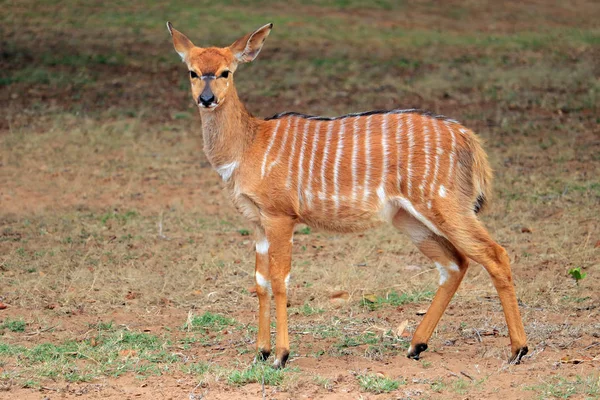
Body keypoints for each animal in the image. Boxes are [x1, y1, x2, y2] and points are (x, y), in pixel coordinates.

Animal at [166, 22, 528, 368]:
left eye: (226, 71)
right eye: (193, 72)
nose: (207, 98)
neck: (249, 145)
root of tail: (469, 138)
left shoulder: (280, 215)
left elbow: (281, 280)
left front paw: (281, 356)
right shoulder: (256, 223)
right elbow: (260, 282)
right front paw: (260, 352)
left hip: (445, 203)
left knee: (495, 254)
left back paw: (518, 350)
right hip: (408, 217)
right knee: (456, 263)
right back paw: (415, 346)